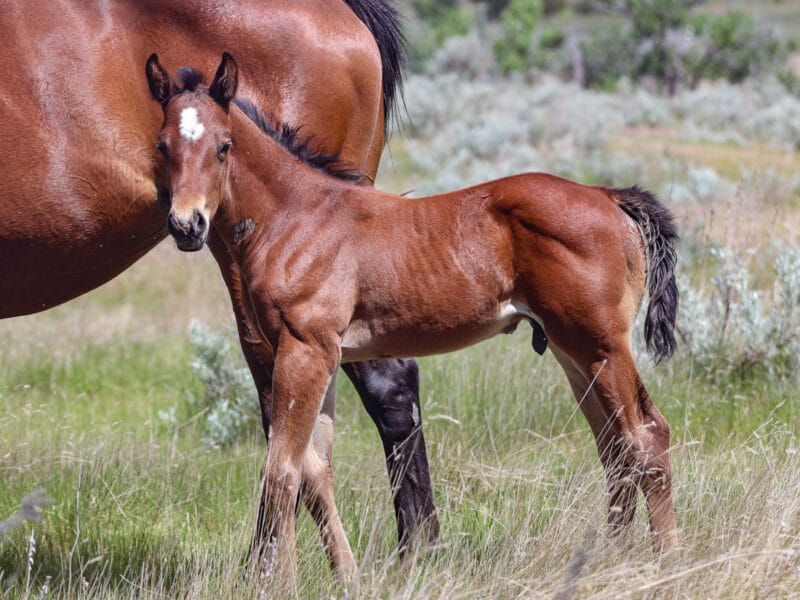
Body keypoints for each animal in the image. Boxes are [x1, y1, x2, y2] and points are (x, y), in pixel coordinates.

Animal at [147, 55, 680, 580]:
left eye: (224, 146)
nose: (187, 225)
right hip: (573, 352)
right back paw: (609, 560)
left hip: (601, 346)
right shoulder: (320, 355)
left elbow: (282, 470)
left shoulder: (305, 350)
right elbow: (315, 470)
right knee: (615, 449)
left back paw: (664, 563)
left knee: (646, 437)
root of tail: (608, 195)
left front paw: (280, 584)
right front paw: (347, 579)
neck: (296, 215)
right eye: (162, 145)